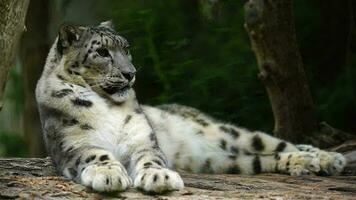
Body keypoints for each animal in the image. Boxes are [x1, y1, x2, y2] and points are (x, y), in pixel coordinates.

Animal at [36, 21, 348, 193]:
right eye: (101, 52)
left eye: (127, 49)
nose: (130, 73)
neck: (107, 105)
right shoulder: (73, 143)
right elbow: (96, 154)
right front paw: (109, 174)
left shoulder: (143, 140)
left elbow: (150, 157)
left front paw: (158, 177)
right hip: (222, 161)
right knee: (266, 158)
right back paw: (307, 163)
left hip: (229, 133)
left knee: (277, 143)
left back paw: (327, 159)